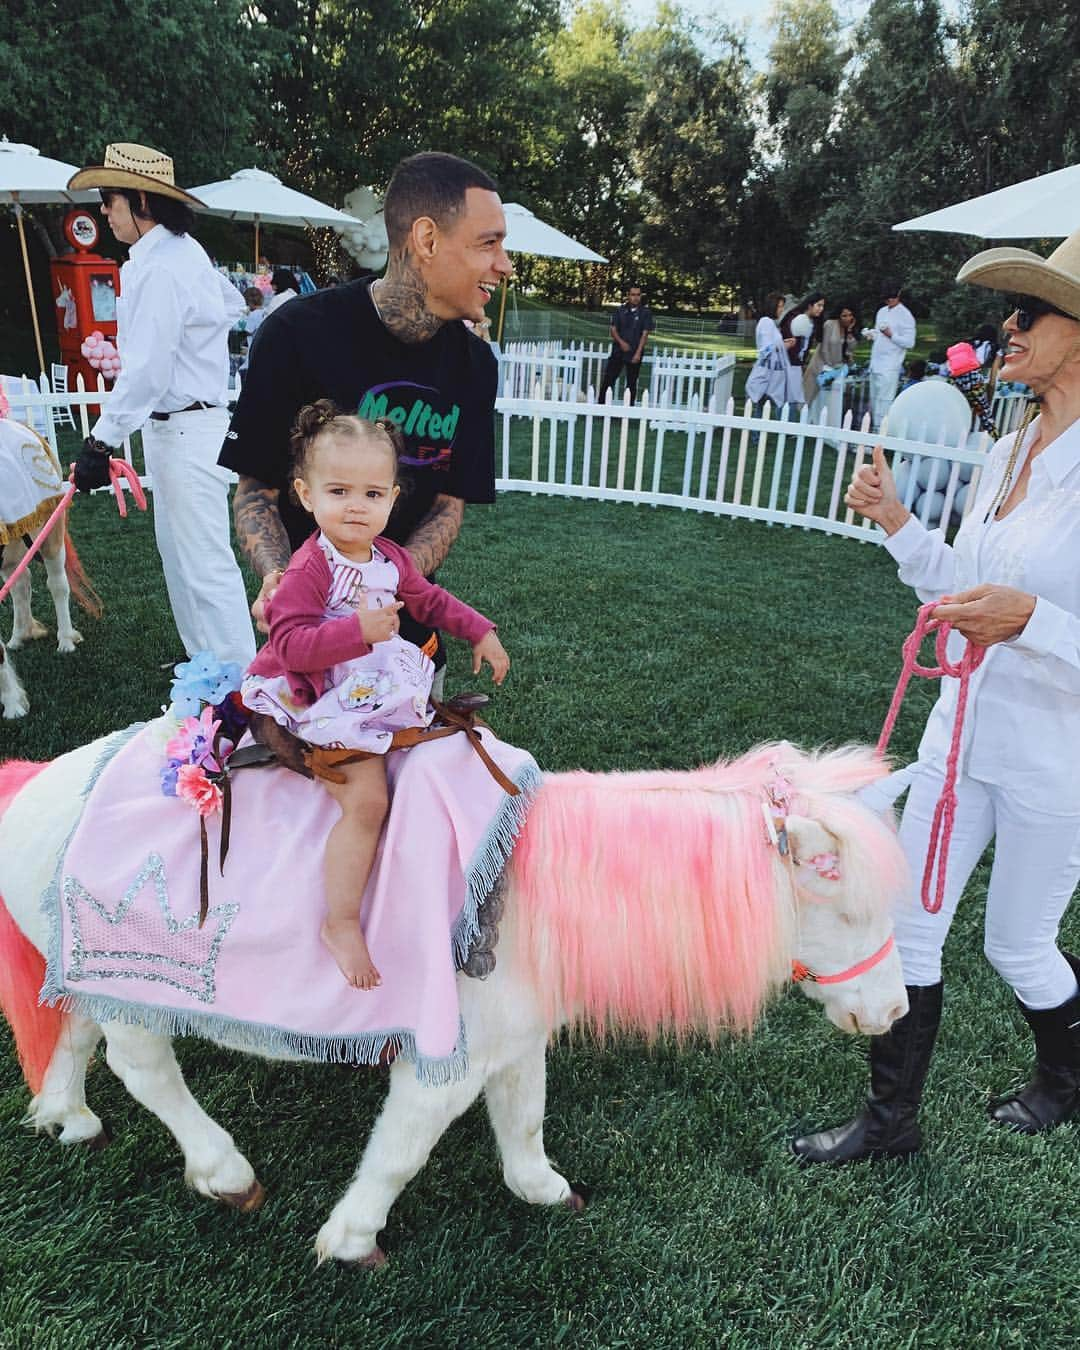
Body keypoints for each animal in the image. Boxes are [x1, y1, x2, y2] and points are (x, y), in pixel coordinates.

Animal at [0, 729, 912, 1263]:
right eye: (838, 893)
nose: (895, 1012)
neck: (533, 899)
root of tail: (37, 782)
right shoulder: (447, 1063)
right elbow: (401, 1150)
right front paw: (350, 1239)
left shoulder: (515, 1041)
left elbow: (525, 1119)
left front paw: (546, 1190)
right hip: (132, 984)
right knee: (143, 1065)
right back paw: (223, 1172)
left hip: (89, 972)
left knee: (75, 1032)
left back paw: (67, 1116)